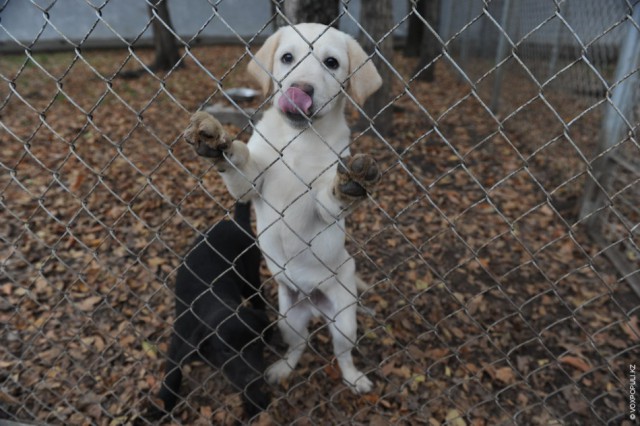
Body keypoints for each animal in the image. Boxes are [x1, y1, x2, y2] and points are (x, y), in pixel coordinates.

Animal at [148, 203, 270, 420]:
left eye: (255, 344)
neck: (215, 303)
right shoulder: (178, 342)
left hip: (250, 274)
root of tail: (236, 222)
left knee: (258, 294)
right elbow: (172, 373)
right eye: (226, 350)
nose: (254, 379)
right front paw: (163, 403)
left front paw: (253, 398)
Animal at [184, 23, 380, 392]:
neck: (298, 141)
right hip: (288, 317)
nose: (299, 90)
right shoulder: (251, 184)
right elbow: (239, 161)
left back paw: (354, 378)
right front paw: (217, 140)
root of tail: (314, 304)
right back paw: (282, 369)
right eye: (287, 58)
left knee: (343, 353)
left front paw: (348, 185)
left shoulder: (322, 204)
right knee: (299, 344)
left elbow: (331, 197)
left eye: (331, 62)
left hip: (344, 320)